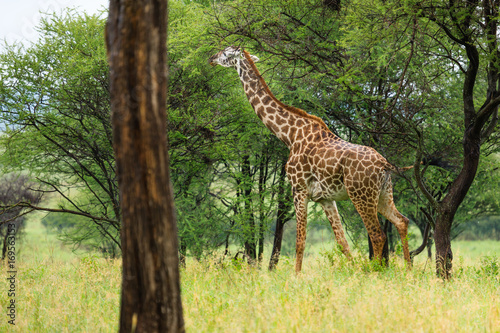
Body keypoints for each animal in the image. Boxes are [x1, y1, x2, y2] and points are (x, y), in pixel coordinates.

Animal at [210, 46, 410, 272]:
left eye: (225, 53)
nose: (211, 58)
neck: (289, 135)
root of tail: (384, 164)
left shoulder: (298, 189)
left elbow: (300, 241)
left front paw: (296, 276)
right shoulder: (325, 198)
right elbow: (342, 242)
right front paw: (352, 272)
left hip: (361, 195)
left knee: (378, 235)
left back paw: (374, 272)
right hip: (383, 193)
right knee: (401, 221)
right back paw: (408, 271)